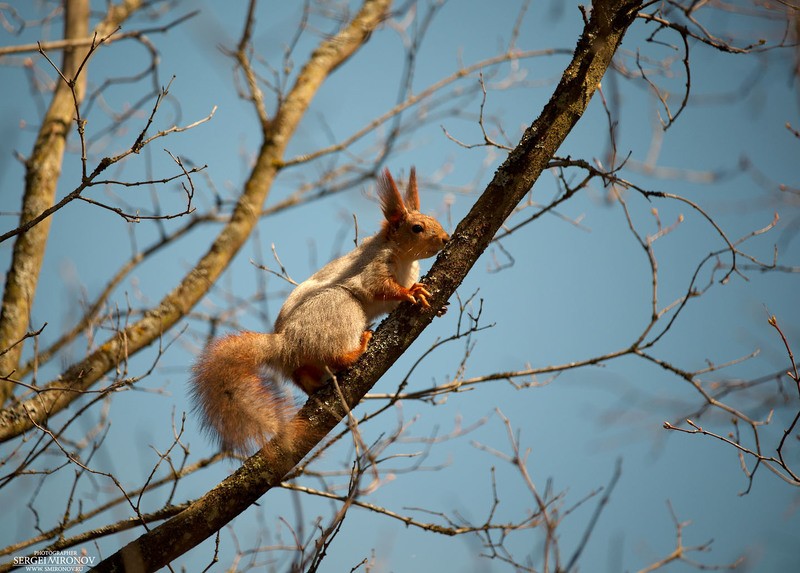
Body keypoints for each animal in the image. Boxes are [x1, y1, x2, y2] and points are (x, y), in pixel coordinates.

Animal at [189, 168, 450, 454]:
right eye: (417, 228)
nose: (445, 239)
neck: (405, 259)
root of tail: (285, 343)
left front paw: (437, 305)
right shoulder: (373, 267)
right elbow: (379, 287)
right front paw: (411, 292)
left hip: (304, 362)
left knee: (302, 374)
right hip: (340, 307)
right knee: (336, 353)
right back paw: (356, 349)